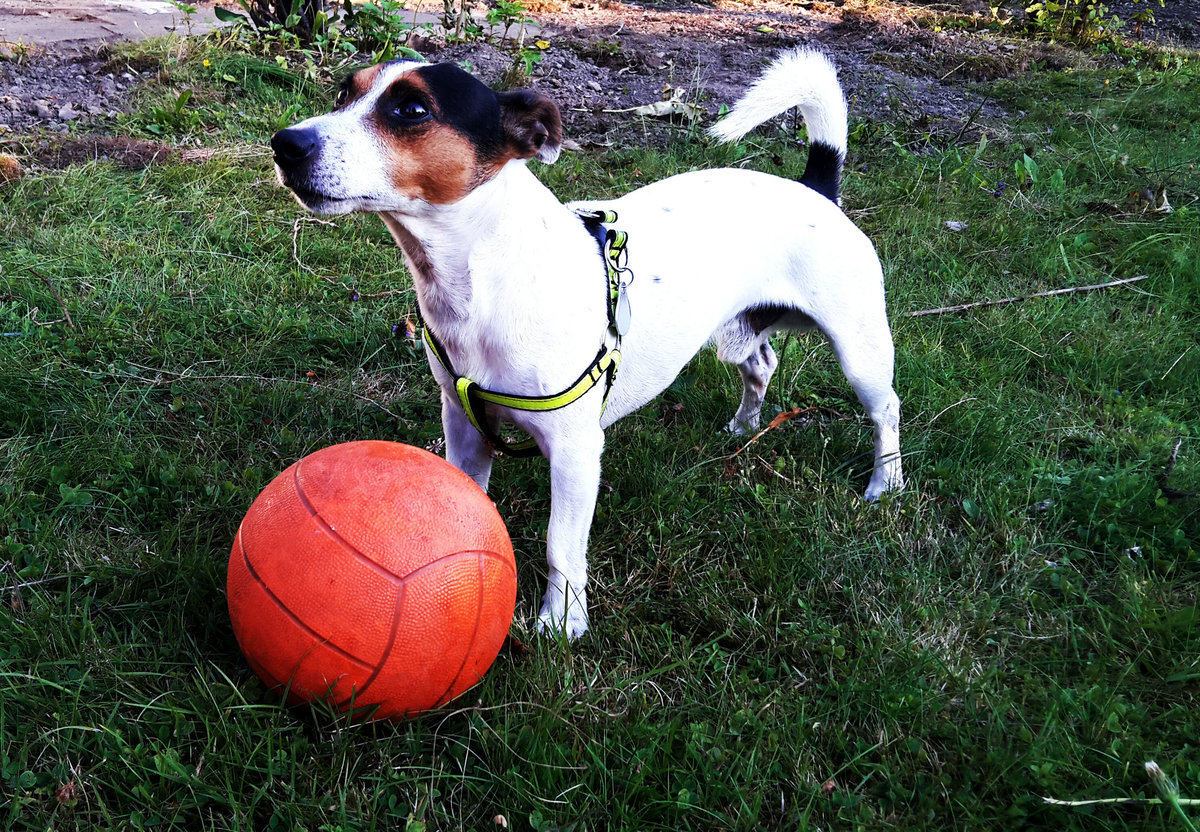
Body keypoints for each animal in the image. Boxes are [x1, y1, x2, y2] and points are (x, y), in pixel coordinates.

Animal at [272, 47, 902, 633]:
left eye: (412, 109)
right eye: (343, 93)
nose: (285, 143)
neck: (484, 281)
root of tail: (816, 187)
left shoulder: (575, 451)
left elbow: (561, 544)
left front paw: (561, 622)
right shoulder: (463, 421)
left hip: (859, 346)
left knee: (885, 409)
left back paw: (886, 483)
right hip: (743, 329)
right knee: (761, 363)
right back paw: (745, 426)